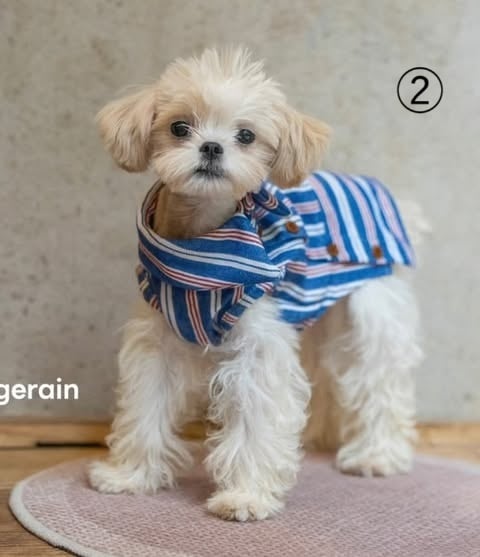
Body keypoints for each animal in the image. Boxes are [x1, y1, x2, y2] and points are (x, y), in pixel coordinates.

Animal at [89, 47, 427, 521]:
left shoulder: (258, 346)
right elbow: (145, 406)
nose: (212, 146)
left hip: (371, 315)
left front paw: (245, 496)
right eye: (179, 127)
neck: (201, 249)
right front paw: (131, 475)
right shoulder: (158, 338)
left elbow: (254, 419)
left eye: (246, 135)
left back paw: (376, 455)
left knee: (379, 383)